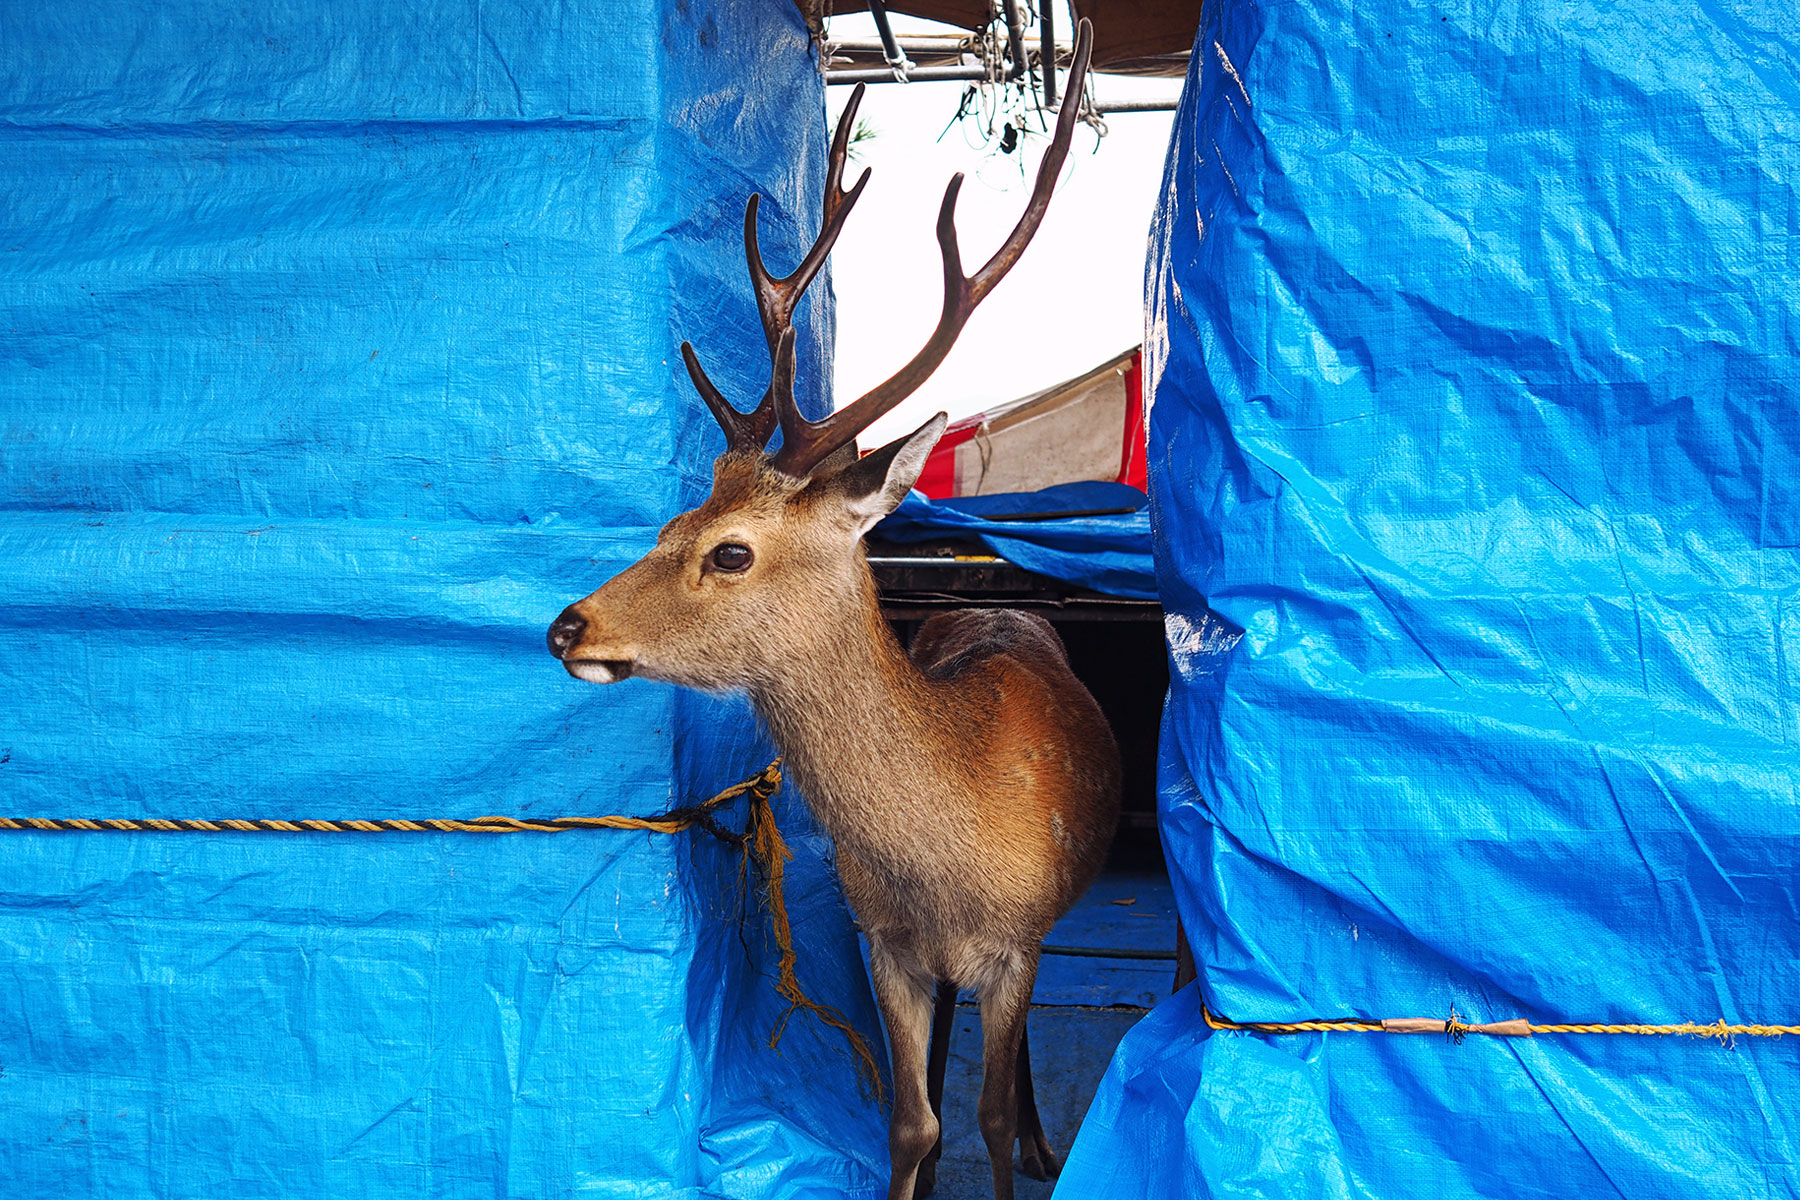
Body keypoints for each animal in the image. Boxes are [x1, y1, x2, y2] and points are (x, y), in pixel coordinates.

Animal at [546, 23, 1117, 1200]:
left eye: (729, 550)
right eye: (670, 520)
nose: (569, 625)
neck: (949, 862)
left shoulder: (1019, 942)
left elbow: (987, 1117)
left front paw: (1019, 1146)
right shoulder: (882, 940)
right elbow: (910, 1121)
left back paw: (1050, 1141)